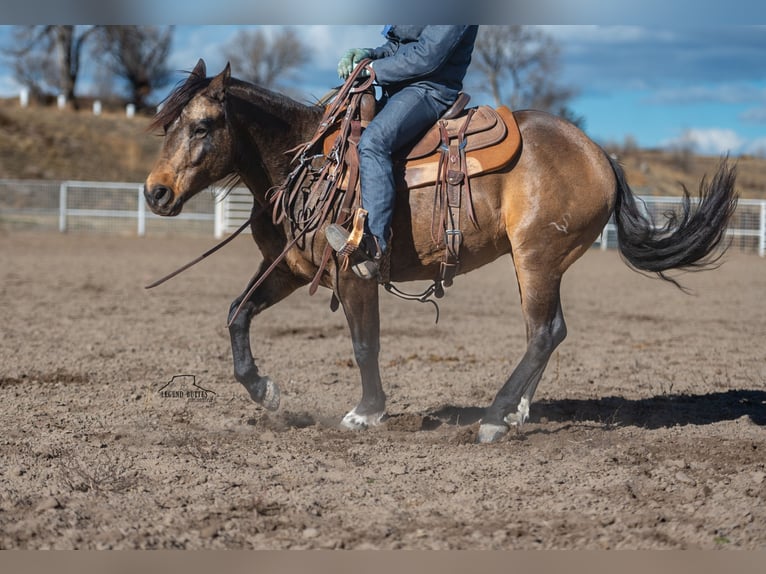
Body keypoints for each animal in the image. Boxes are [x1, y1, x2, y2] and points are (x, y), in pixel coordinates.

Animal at [142, 59, 736, 446]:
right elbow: (236, 314)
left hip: (537, 258)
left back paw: (494, 418)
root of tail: (599, 154)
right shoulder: (289, 268)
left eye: (202, 125)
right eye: (168, 125)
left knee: (545, 332)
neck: (302, 163)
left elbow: (365, 344)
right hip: (535, 264)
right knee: (546, 332)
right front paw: (264, 391)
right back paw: (516, 411)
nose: (155, 193)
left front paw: (366, 413)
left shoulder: (353, 272)